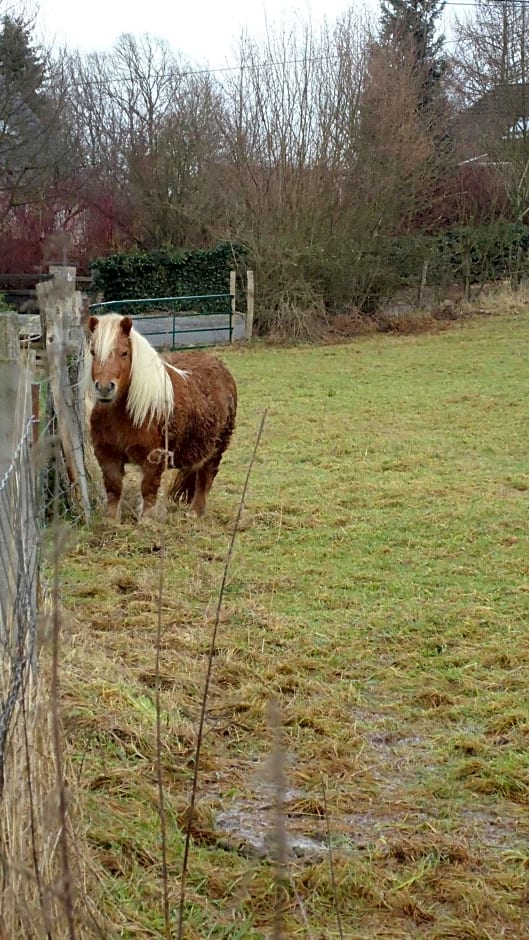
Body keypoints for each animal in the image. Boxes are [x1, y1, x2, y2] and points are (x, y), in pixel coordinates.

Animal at [87, 316, 236, 520]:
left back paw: (195, 512)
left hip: (217, 447)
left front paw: (147, 520)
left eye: (124, 353)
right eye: (93, 352)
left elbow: (148, 489)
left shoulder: (154, 457)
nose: (104, 388)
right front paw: (111, 519)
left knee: (206, 476)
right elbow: (113, 487)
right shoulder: (107, 454)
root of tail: (220, 367)